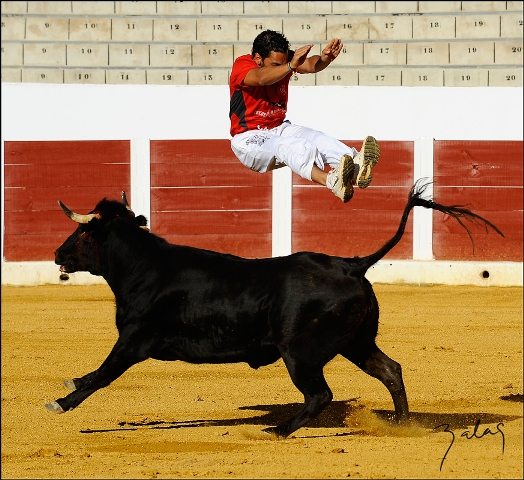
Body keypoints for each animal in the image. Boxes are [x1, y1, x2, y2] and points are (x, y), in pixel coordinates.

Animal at [46, 181, 504, 438]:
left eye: (83, 234)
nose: (56, 253)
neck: (145, 268)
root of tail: (350, 263)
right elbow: (98, 373)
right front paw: (69, 388)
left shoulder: (134, 340)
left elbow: (103, 374)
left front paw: (61, 402)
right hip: (356, 342)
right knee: (390, 369)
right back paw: (402, 425)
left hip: (300, 353)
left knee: (320, 393)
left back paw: (279, 430)